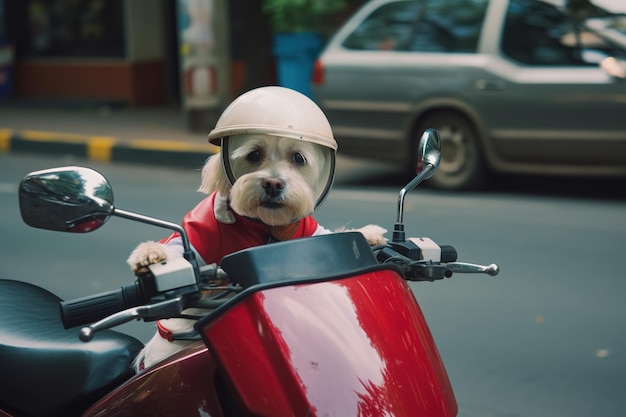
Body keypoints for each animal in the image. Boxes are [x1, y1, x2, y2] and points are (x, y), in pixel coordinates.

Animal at [125, 88, 386, 370]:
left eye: (298, 158)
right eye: (254, 155)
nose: (273, 184)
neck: (266, 227)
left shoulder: (309, 231)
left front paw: (369, 235)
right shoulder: (201, 231)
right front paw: (150, 254)